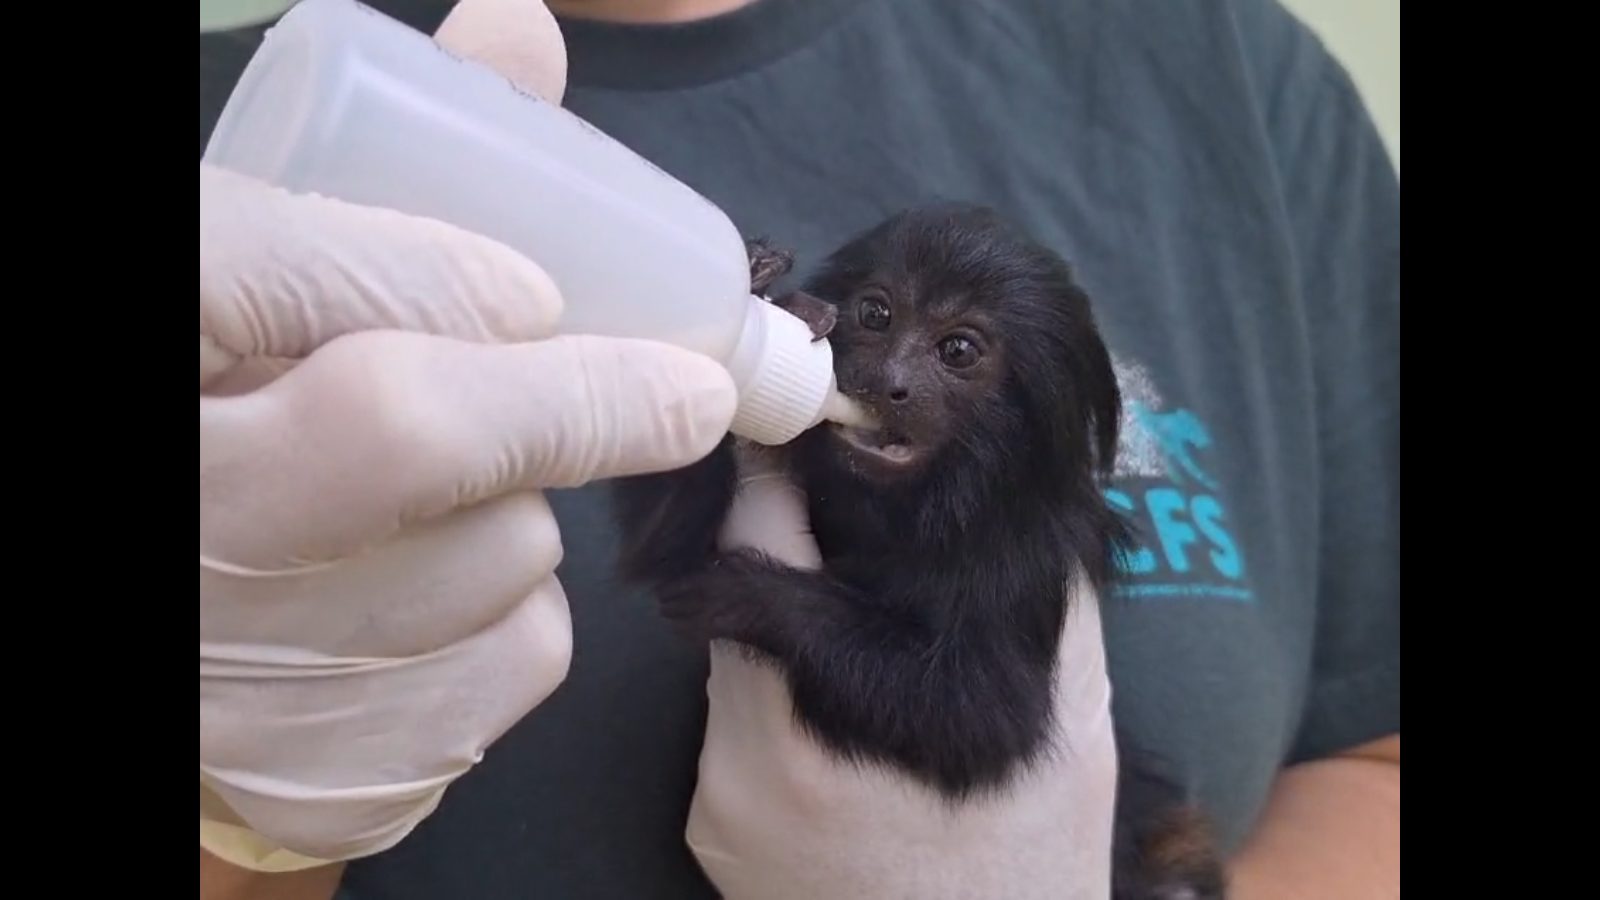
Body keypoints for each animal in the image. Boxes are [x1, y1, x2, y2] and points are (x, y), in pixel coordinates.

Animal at [611, 204, 1222, 896]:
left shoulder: (1023, 562)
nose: (889, 382)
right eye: (876, 314)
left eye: (957, 350)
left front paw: (752, 595)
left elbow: (981, 716)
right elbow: (664, 543)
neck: (904, 509)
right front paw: (751, 284)